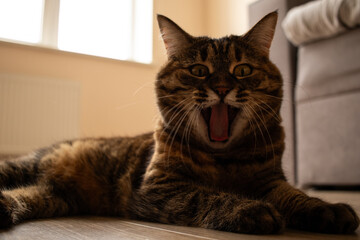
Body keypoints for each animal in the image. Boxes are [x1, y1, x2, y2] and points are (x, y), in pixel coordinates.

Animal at [0, 11, 358, 234]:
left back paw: (4, 207)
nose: (222, 88)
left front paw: (325, 209)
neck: (223, 159)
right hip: (27, 167)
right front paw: (247, 209)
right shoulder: (159, 185)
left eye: (242, 70)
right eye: (199, 70)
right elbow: (204, 195)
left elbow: (295, 196)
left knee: (23, 196)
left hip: (51, 196)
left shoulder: (270, 180)